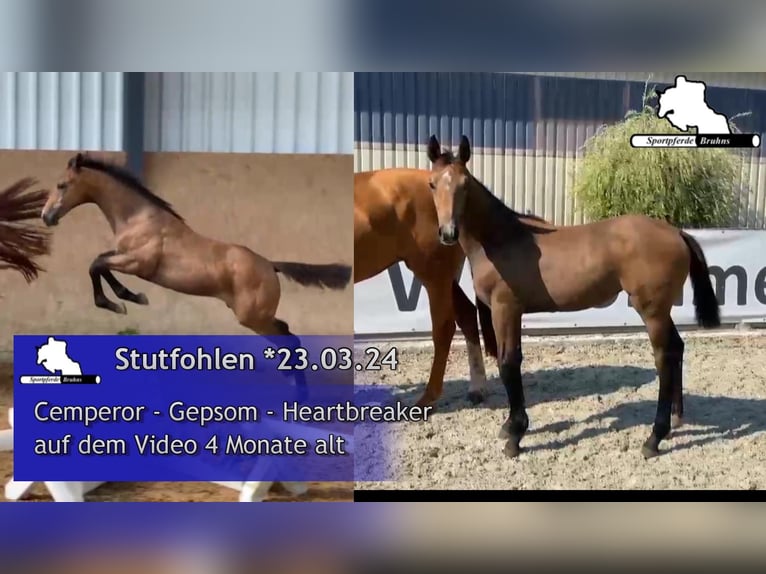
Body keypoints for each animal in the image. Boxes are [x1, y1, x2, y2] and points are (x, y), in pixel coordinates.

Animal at [428, 134, 724, 460]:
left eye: (464, 184)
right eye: (432, 184)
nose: (448, 233)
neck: (501, 239)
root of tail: (676, 233)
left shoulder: (506, 309)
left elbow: (509, 364)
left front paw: (516, 435)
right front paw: (509, 427)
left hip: (652, 311)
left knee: (665, 357)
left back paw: (654, 437)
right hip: (661, 310)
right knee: (678, 348)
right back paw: (675, 418)